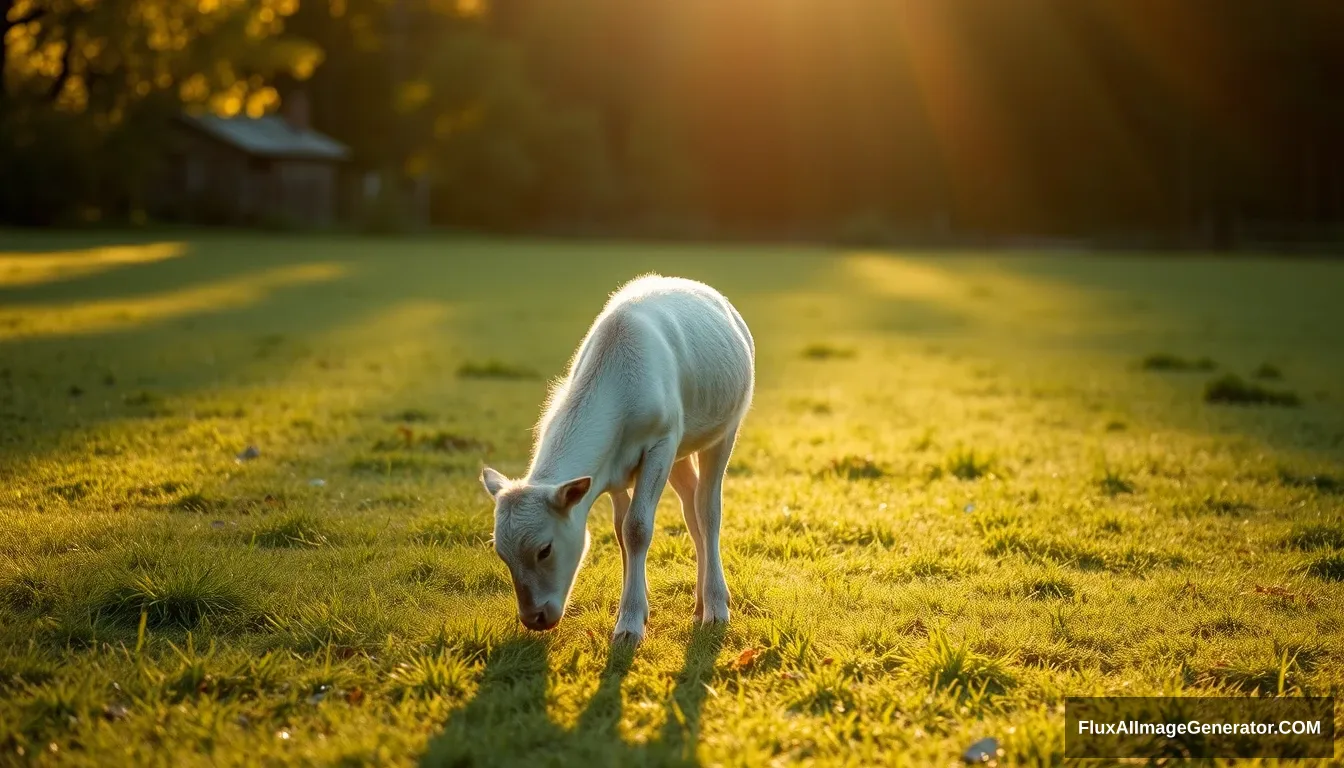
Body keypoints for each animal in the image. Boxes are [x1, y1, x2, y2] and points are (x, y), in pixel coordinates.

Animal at [481, 274, 758, 642]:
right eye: (501, 553)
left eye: (545, 549)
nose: (534, 618)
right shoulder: (613, 470)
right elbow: (621, 531)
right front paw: (637, 610)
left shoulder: (661, 442)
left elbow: (637, 528)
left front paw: (629, 625)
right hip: (681, 448)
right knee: (691, 507)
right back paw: (700, 604)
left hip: (724, 429)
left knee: (708, 509)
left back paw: (715, 607)